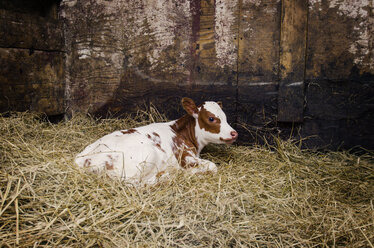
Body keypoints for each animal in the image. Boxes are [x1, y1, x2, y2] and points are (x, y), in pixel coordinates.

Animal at [74, 98, 238, 185]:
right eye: (211, 118)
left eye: (225, 117)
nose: (234, 133)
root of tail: (84, 161)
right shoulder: (185, 157)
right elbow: (213, 166)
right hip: (145, 157)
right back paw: (165, 176)